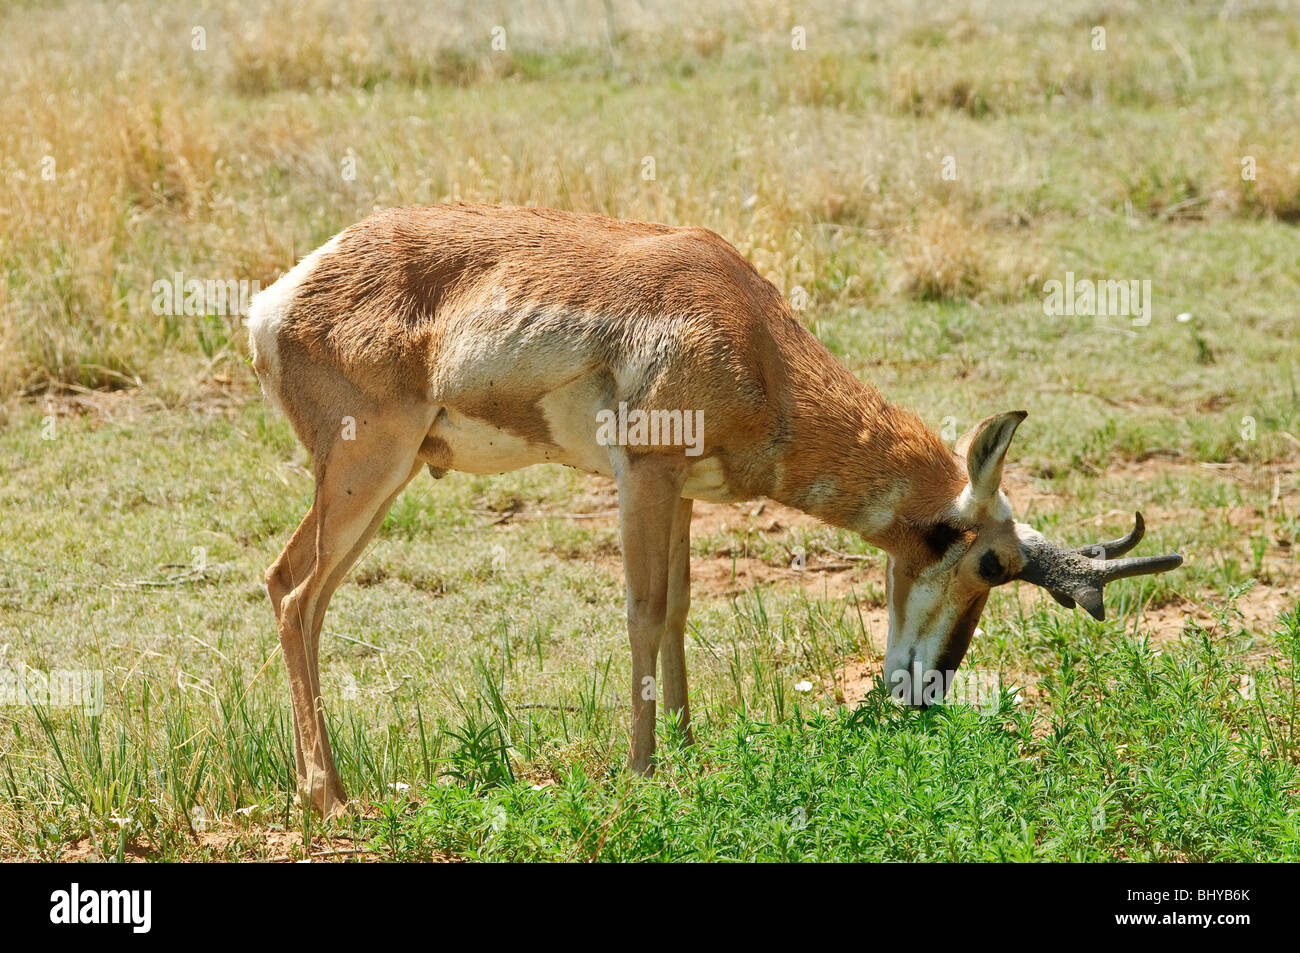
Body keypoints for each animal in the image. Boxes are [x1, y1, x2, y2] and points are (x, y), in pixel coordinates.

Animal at [248, 204, 1182, 816]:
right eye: (985, 556)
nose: (925, 691)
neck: (753, 335)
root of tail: (281, 296)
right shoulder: (644, 475)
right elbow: (642, 607)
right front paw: (643, 771)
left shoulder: (687, 496)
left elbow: (680, 610)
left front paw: (691, 751)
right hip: (369, 469)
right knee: (294, 588)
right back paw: (332, 802)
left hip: (381, 477)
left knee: (299, 592)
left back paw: (327, 791)